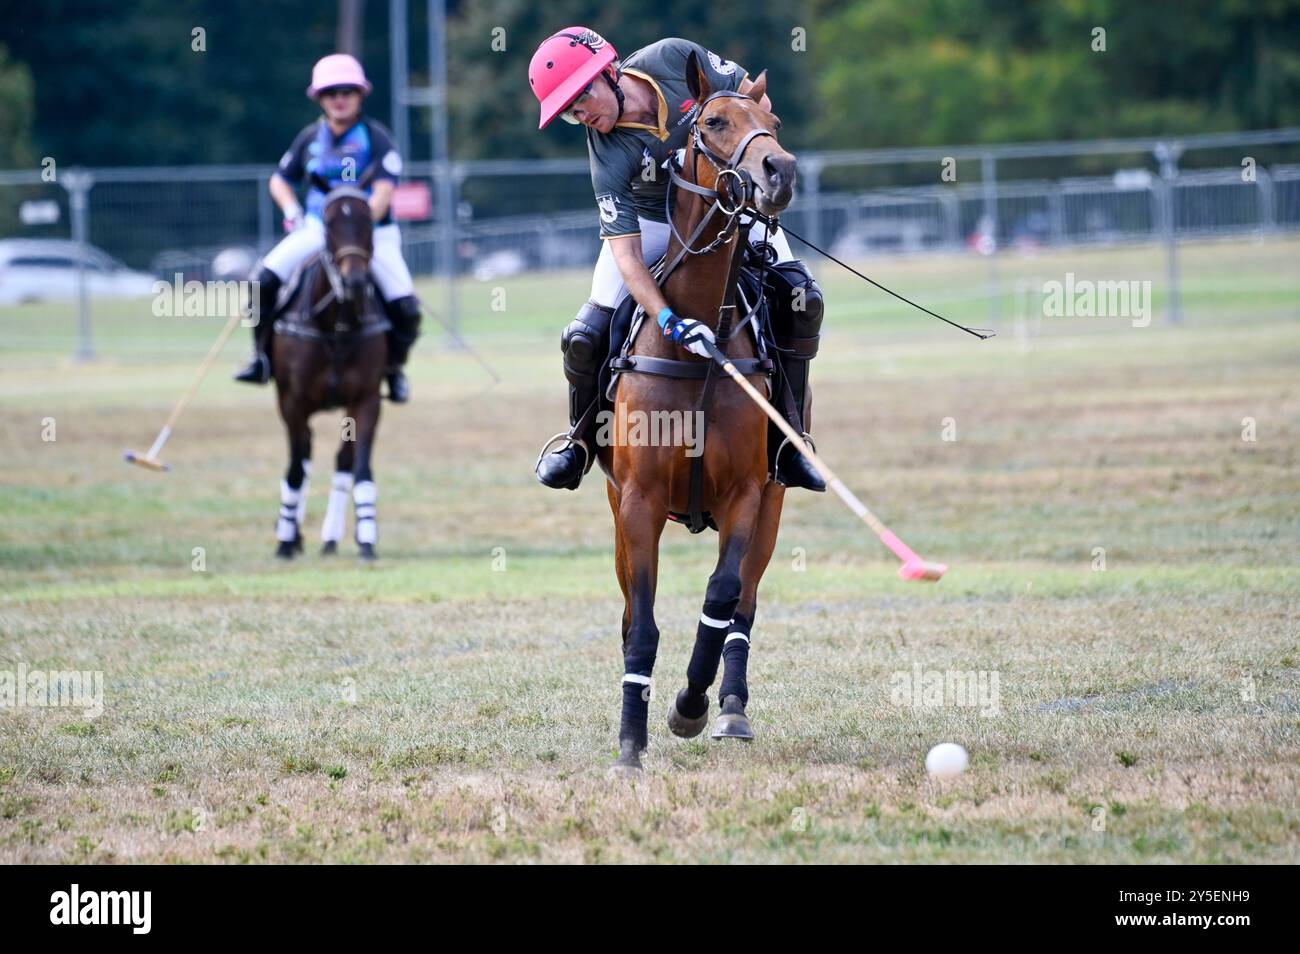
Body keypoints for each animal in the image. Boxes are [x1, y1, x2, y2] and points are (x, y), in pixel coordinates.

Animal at [270, 174, 387, 561]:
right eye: (329, 223)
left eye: (369, 221)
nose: (355, 283)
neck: (336, 324)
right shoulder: (291, 403)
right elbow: (295, 470)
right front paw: (285, 541)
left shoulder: (366, 401)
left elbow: (360, 466)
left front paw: (367, 538)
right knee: (303, 459)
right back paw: (291, 532)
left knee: (340, 461)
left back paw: (331, 537)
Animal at [598, 57, 800, 779]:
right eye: (713, 123)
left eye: (773, 121)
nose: (779, 171)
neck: (698, 349)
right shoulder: (636, 500)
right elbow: (643, 623)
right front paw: (630, 744)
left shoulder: (746, 494)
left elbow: (721, 597)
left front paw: (690, 705)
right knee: (631, 611)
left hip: (774, 499)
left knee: (745, 602)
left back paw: (731, 707)